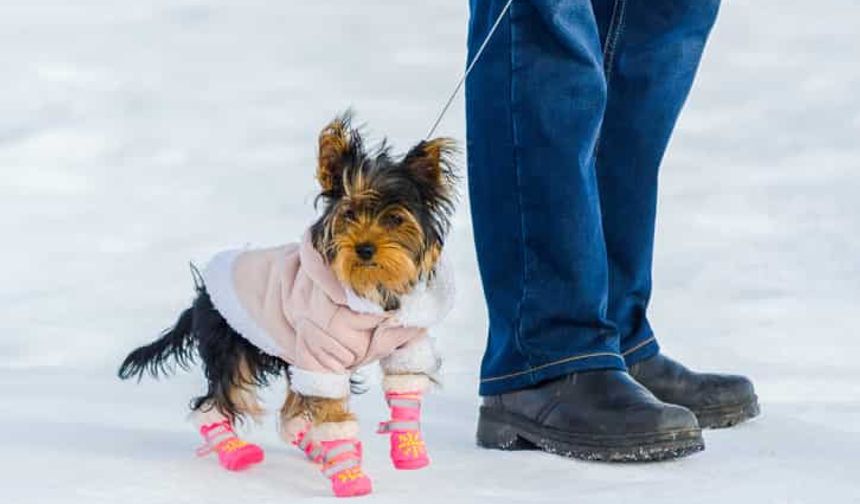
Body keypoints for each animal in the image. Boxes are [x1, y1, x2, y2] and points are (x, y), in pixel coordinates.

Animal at [120, 113, 460, 496]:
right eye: (349, 215)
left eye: (394, 219)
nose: (364, 248)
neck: (368, 293)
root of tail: (202, 297)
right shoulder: (321, 356)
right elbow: (334, 416)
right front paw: (349, 478)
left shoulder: (404, 341)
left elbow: (406, 385)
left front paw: (408, 449)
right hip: (232, 348)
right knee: (218, 403)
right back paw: (236, 452)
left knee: (291, 414)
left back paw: (314, 449)